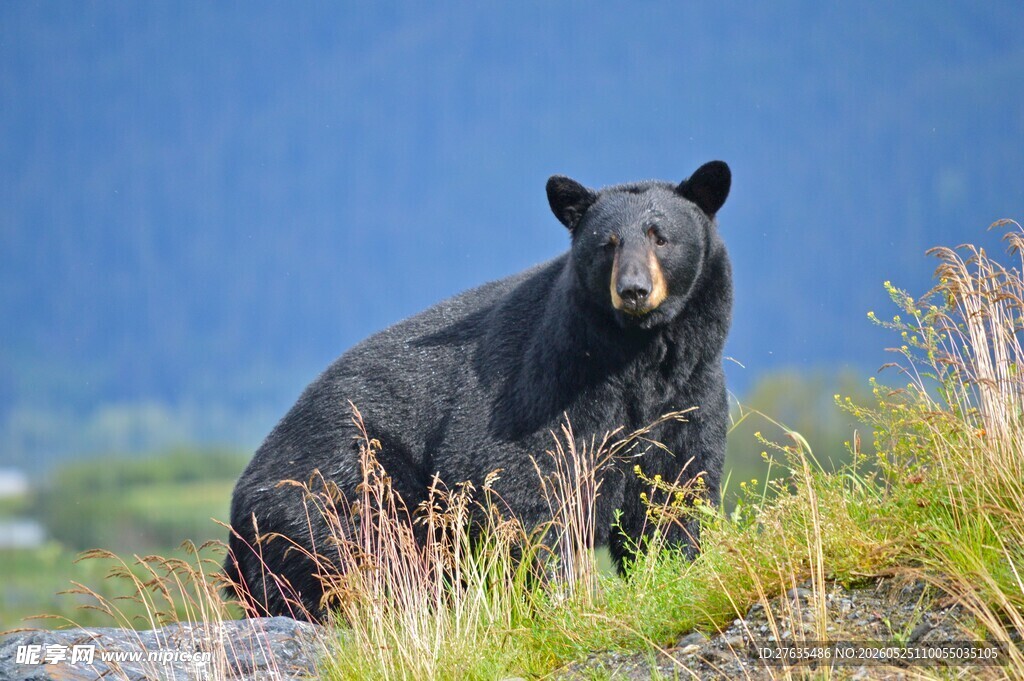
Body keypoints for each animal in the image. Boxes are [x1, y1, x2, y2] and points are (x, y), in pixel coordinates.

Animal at [225, 161, 733, 621]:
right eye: (606, 244)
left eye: (659, 236)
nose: (633, 290)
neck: (637, 358)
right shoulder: (548, 386)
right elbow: (527, 488)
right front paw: (553, 593)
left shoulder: (691, 391)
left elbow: (676, 490)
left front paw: (673, 570)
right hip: (346, 477)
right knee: (357, 543)